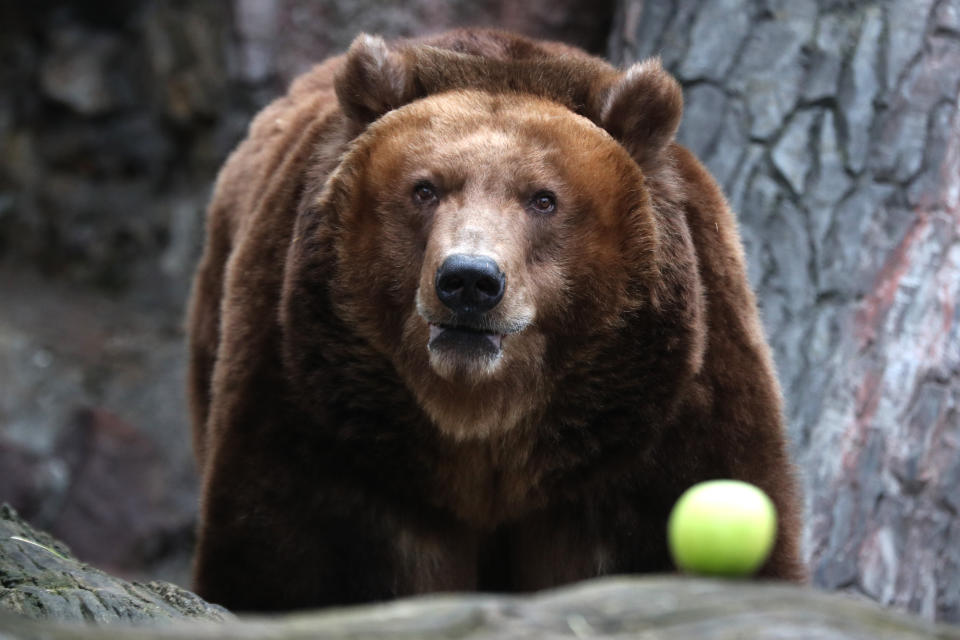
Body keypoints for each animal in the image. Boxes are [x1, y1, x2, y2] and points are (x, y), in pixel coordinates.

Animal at [184, 27, 808, 612]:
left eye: (543, 199)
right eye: (425, 189)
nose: (469, 281)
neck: (486, 425)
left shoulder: (658, 420)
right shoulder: (328, 419)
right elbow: (292, 560)